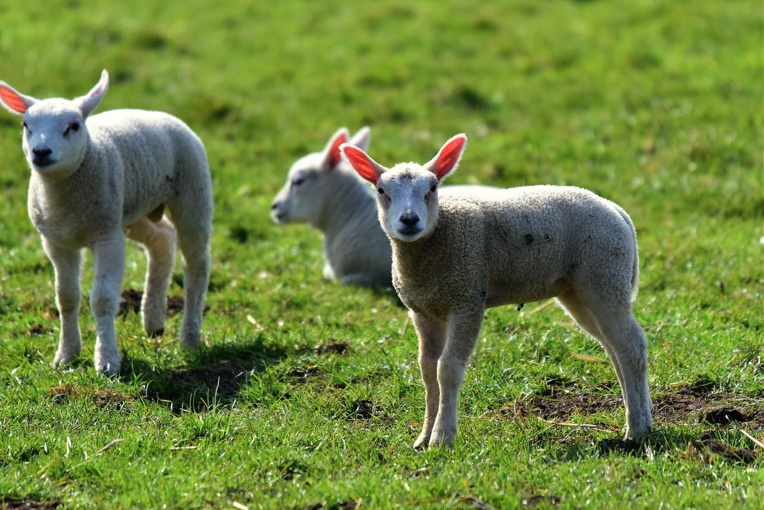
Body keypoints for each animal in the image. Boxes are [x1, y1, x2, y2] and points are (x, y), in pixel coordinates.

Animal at [0, 70, 213, 376]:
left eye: (74, 126)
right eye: (25, 125)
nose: (40, 151)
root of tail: (163, 115)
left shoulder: (107, 237)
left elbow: (102, 299)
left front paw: (107, 362)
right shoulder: (56, 242)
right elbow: (66, 297)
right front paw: (66, 356)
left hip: (193, 191)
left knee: (197, 264)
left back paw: (189, 338)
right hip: (131, 211)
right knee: (162, 239)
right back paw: (153, 320)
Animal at [341, 134, 653, 448]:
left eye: (432, 188)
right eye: (381, 190)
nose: (409, 220)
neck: (440, 235)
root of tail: (617, 211)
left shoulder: (467, 300)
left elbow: (448, 369)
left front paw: (442, 437)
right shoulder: (424, 311)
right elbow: (428, 371)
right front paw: (424, 437)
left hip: (605, 275)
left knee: (631, 346)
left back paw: (636, 430)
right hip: (580, 290)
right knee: (614, 347)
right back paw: (642, 418)